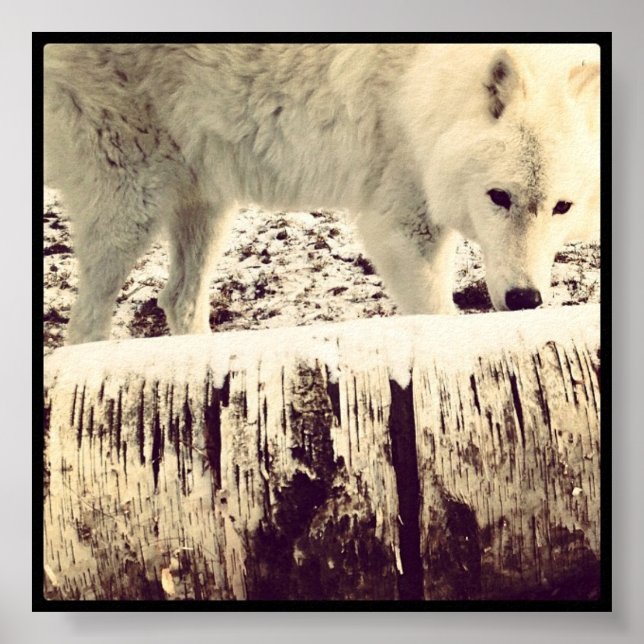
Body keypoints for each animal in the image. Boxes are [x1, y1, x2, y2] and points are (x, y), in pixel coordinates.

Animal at [43, 43, 600, 344]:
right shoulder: (400, 227)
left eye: (562, 207)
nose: (525, 300)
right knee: (84, 327)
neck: (424, 85)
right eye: (498, 197)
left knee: (177, 299)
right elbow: (438, 316)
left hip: (208, 206)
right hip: (129, 210)